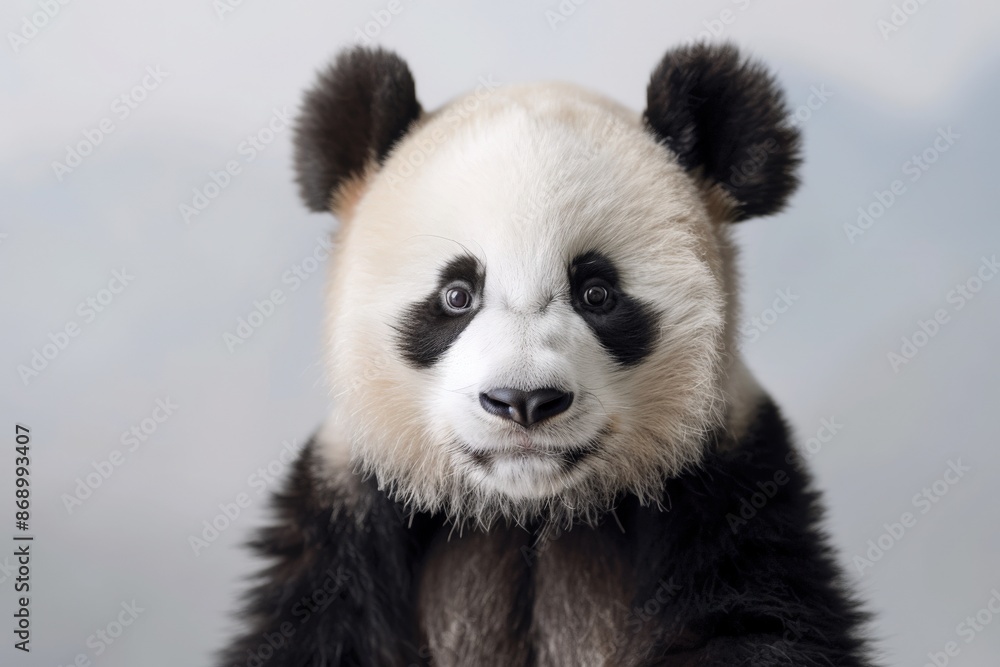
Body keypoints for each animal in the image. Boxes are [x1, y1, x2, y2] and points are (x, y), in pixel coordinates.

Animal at [218, 43, 873, 666]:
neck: (529, 510)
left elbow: (754, 621)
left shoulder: (734, 488)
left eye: (597, 293)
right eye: (457, 295)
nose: (524, 401)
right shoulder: (345, 510)